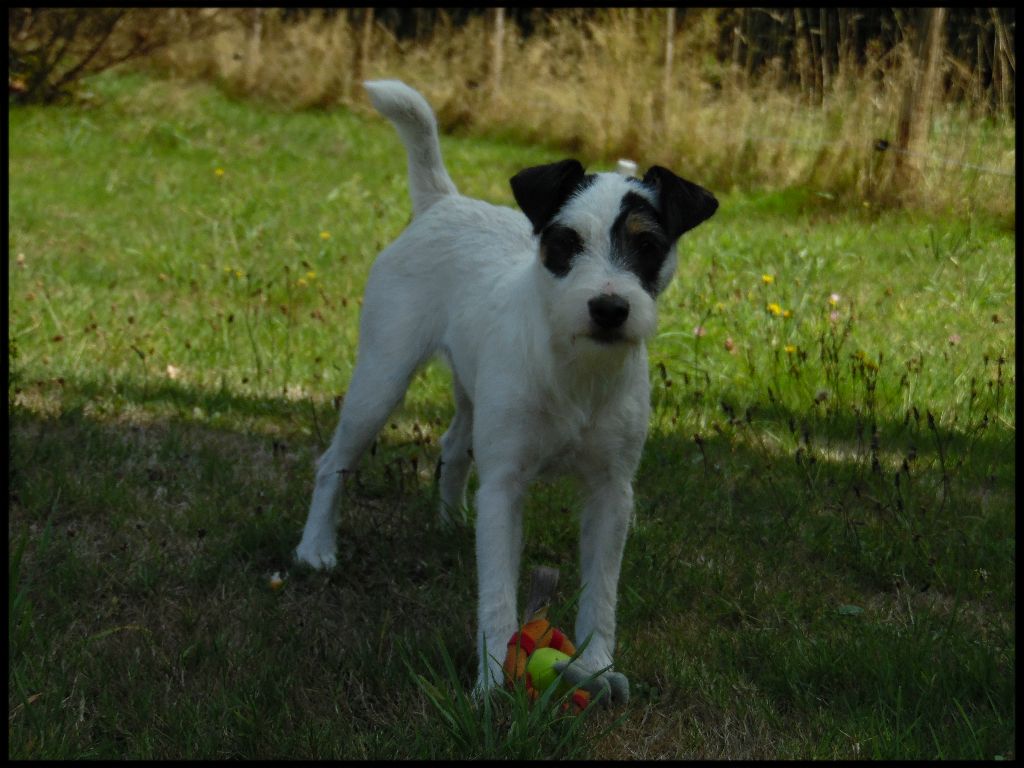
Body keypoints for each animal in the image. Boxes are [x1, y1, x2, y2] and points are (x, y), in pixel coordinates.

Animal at [292, 79, 716, 704]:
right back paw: (316, 548)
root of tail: (443, 203)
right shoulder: (503, 488)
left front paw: (597, 668)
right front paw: (492, 683)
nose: (609, 308)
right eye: (566, 242)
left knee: (451, 445)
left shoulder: (611, 493)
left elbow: (601, 594)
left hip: (472, 392)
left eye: (647, 245)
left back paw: (449, 522)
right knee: (333, 462)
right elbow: (496, 595)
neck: (574, 368)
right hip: (380, 379)